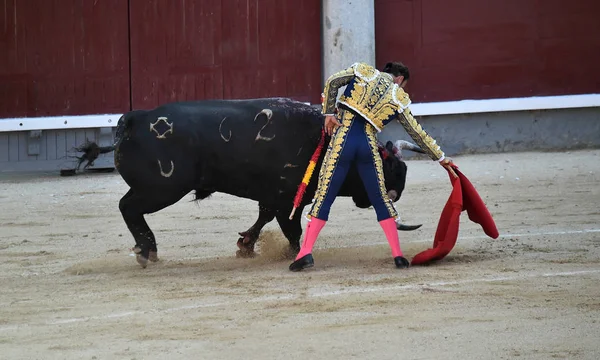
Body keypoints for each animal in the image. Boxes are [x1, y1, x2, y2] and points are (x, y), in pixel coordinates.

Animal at [90, 97, 426, 268]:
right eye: (390, 170)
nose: (396, 192)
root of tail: (136, 117)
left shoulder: (275, 197)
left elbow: (263, 217)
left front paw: (246, 246)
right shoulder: (286, 199)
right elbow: (292, 229)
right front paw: (294, 255)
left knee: (128, 207)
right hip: (162, 188)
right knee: (128, 207)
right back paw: (147, 252)